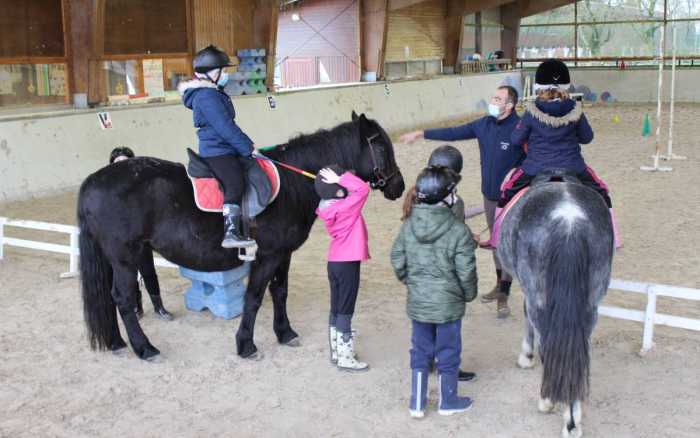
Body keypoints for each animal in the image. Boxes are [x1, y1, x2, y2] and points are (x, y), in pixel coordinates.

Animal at [78, 111, 404, 362]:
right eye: (382, 149)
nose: (398, 186)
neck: (292, 184)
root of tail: (94, 181)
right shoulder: (267, 256)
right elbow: (255, 297)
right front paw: (246, 345)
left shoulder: (283, 254)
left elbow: (279, 292)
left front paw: (285, 333)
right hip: (125, 256)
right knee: (122, 298)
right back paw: (145, 348)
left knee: (110, 298)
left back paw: (117, 342)